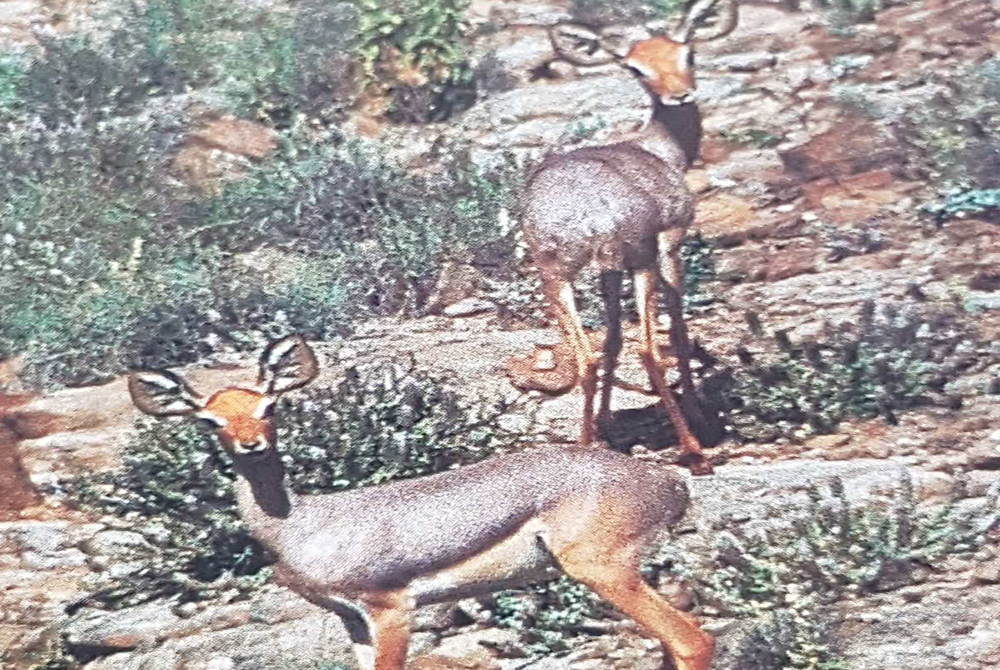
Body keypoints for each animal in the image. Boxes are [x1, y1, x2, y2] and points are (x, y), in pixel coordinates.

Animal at [126, 335, 715, 670]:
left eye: (269, 406)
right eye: (210, 420)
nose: (251, 445)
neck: (298, 524)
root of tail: (668, 484)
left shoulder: (389, 608)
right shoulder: (352, 619)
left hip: (601, 570)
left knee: (693, 643)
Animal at [517, 0, 741, 477]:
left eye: (687, 53)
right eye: (634, 67)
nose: (679, 95)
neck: (659, 150)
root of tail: (585, 213)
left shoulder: (609, 268)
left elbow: (613, 340)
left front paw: (605, 423)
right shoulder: (670, 241)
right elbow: (677, 332)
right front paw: (702, 421)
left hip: (556, 275)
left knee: (586, 356)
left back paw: (586, 445)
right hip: (642, 261)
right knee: (650, 349)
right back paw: (695, 452)